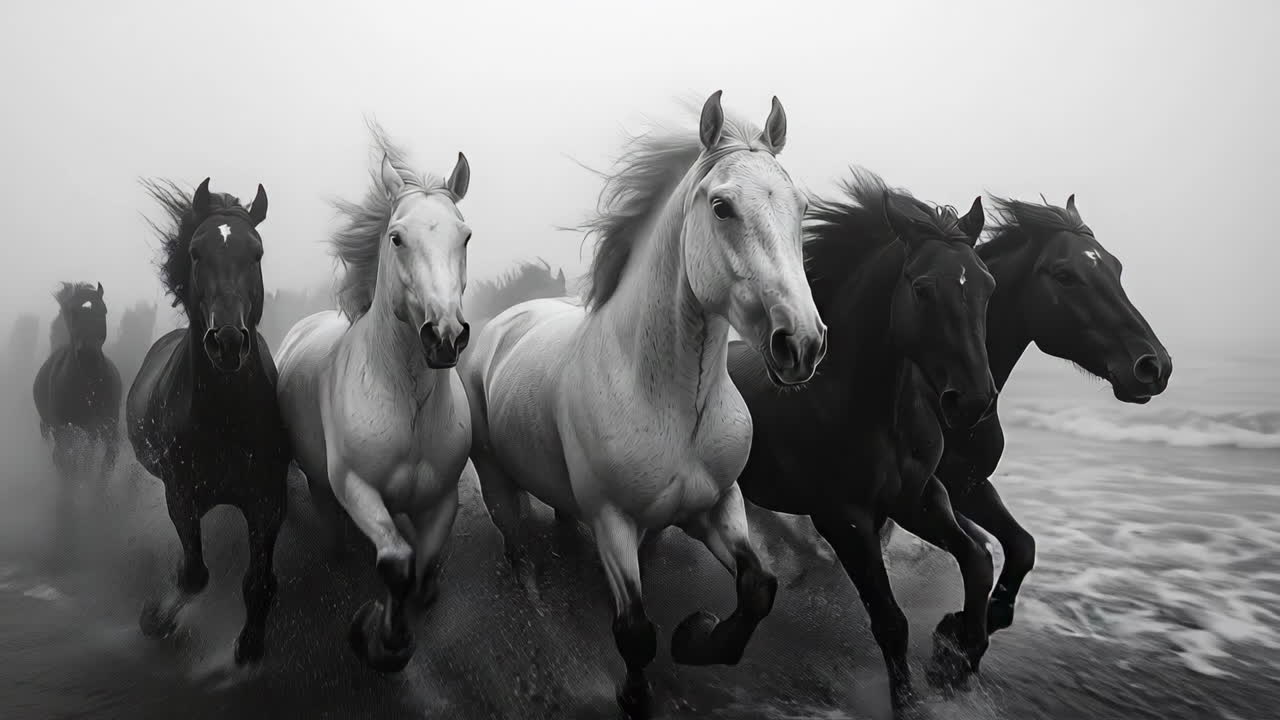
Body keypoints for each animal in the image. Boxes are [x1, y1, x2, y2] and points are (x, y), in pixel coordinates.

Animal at [32, 282, 122, 480]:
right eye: (72, 312)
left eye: (103, 310)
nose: (89, 357)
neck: (89, 389)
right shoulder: (64, 433)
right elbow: (69, 466)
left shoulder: (108, 430)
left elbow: (104, 467)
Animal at [127, 177, 290, 666]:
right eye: (197, 252)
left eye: (256, 252)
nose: (228, 341)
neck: (225, 416)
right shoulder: (181, 494)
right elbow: (194, 573)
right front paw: (156, 619)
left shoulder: (266, 499)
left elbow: (260, 582)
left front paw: (249, 646)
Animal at [274, 123, 473, 673]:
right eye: (396, 237)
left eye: (465, 236)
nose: (444, 336)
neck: (408, 404)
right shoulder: (357, 486)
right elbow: (397, 563)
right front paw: (382, 640)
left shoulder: (441, 500)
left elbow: (422, 567)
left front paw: (407, 618)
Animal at [460, 91, 827, 717]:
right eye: (722, 207)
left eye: (801, 206)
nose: (800, 343)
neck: (672, 406)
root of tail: (505, 323)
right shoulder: (613, 521)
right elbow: (633, 631)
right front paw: (634, 692)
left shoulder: (718, 504)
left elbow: (757, 589)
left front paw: (698, 636)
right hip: (495, 479)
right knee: (519, 548)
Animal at [729, 170, 997, 711]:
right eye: (922, 288)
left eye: (988, 286)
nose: (974, 401)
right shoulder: (844, 519)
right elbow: (890, 622)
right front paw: (909, 702)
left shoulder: (916, 498)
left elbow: (978, 560)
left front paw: (956, 661)